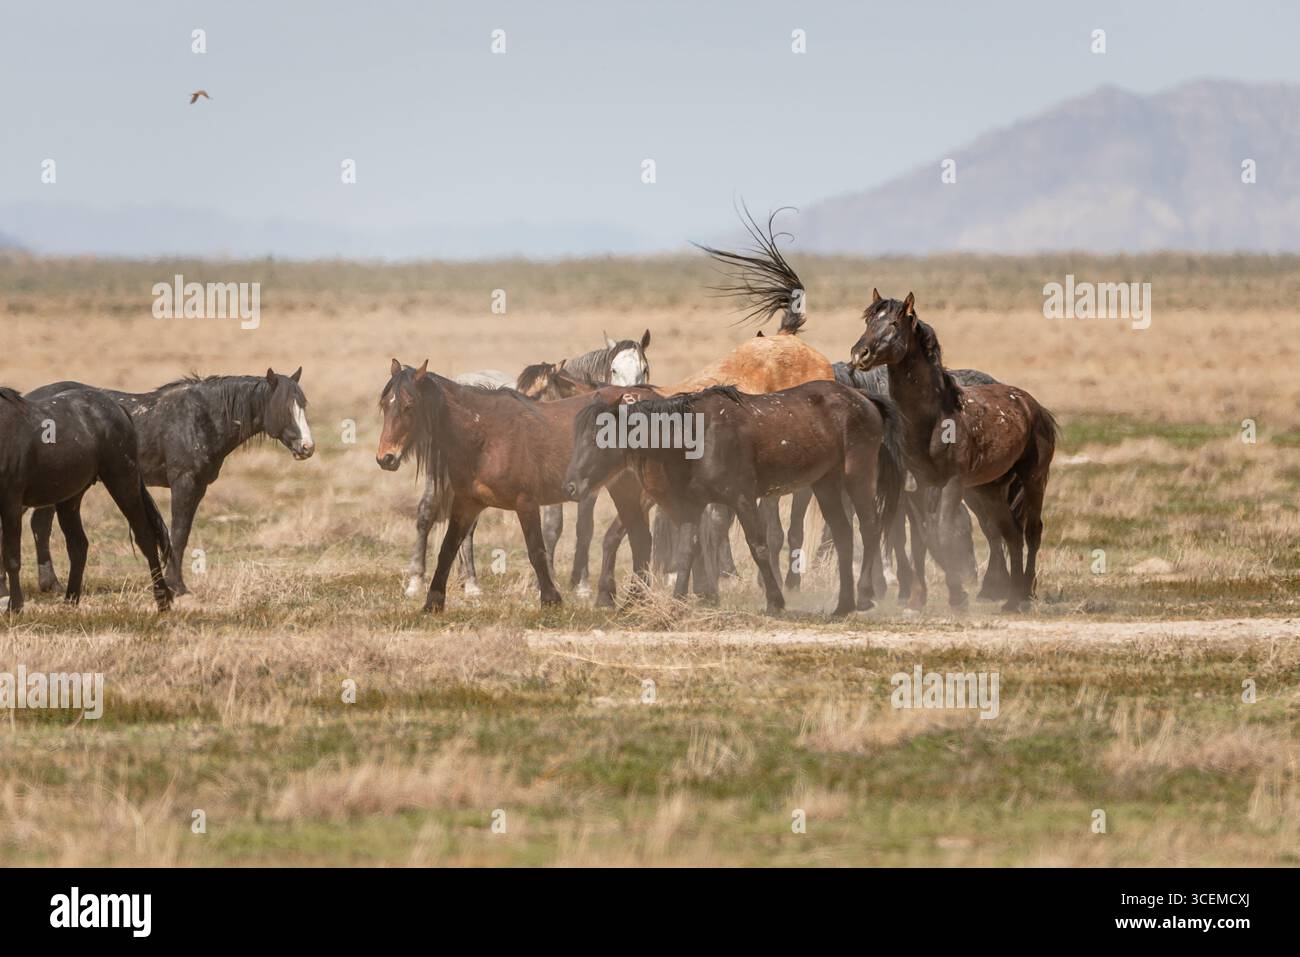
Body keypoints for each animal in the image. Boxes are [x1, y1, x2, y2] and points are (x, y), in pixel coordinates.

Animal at [0, 386, 172, 613]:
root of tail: (116, 407)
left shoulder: (11, 502)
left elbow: (11, 557)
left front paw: (15, 607)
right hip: (70, 499)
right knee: (78, 545)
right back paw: (70, 600)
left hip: (123, 481)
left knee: (145, 536)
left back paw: (162, 601)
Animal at [23, 369, 314, 596]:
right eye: (284, 408)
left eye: (303, 405)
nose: (307, 448)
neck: (201, 418)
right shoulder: (184, 483)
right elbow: (179, 534)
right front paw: (177, 586)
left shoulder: (198, 487)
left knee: (40, 525)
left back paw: (52, 586)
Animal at [377, 360, 652, 612]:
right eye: (384, 405)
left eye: (409, 406)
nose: (385, 458)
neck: (485, 435)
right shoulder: (466, 502)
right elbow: (448, 548)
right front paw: (433, 602)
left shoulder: (526, 502)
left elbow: (536, 550)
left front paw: (550, 599)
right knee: (640, 538)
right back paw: (633, 601)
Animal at [565, 381, 903, 615]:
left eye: (600, 437)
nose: (570, 486)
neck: (696, 436)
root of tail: (862, 398)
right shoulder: (691, 508)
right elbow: (688, 551)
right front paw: (678, 601)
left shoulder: (743, 499)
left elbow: (759, 546)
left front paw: (775, 601)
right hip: (826, 483)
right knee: (844, 535)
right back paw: (843, 605)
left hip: (857, 475)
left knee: (869, 527)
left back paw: (865, 595)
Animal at [850, 291, 1057, 611]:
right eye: (869, 320)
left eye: (895, 323)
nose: (860, 354)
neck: (933, 418)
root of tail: (1033, 406)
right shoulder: (917, 486)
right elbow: (923, 537)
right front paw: (918, 598)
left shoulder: (951, 484)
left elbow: (944, 534)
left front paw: (957, 595)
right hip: (989, 489)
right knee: (1009, 533)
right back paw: (1010, 598)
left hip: (1033, 480)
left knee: (1032, 531)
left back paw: (1023, 595)